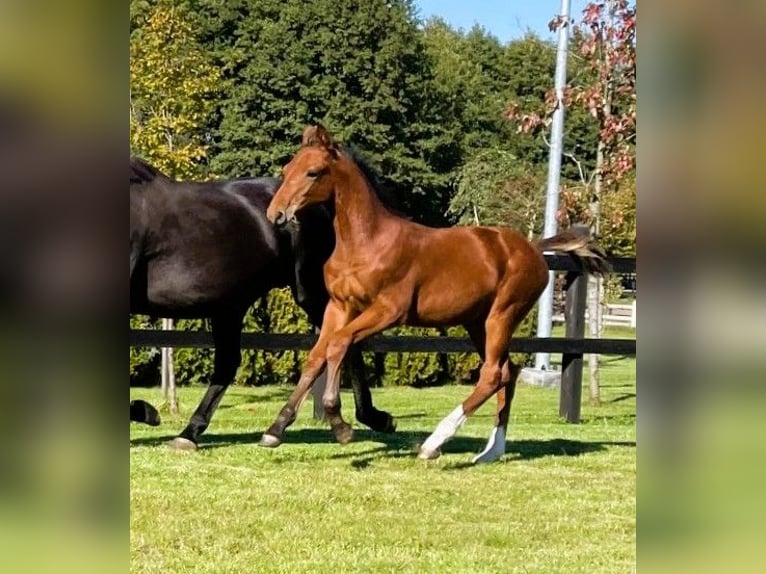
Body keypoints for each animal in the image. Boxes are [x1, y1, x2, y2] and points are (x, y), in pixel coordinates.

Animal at [130, 156, 396, 449]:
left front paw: (146, 411)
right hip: (230, 307)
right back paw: (189, 433)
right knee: (228, 364)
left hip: (312, 293)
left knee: (344, 343)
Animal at [259, 124, 608, 463]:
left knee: (492, 374)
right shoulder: (339, 307)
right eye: (287, 169)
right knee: (507, 372)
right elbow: (317, 356)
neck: (366, 242)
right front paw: (275, 430)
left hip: (502, 315)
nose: (275, 214)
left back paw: (433, 443)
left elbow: (338, 344)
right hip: (476, 322)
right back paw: (491, 451)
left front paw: (339, 423)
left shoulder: (388, 311)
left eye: (313, 172)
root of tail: (535, 250)